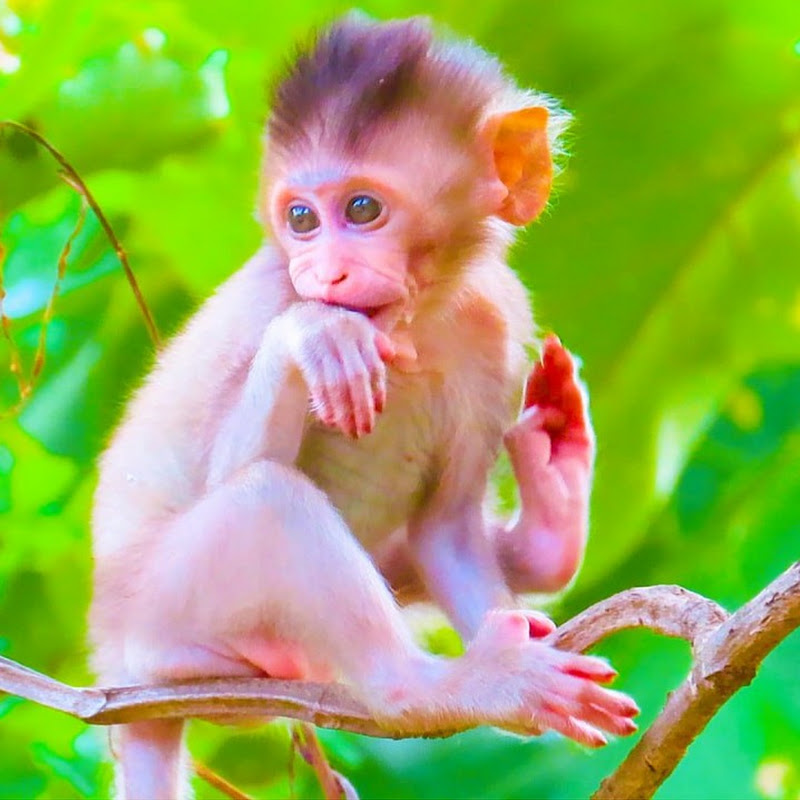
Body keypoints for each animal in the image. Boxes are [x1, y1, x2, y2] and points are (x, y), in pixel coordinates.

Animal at [89, 15, 639, 800]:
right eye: (300, 219)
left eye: (361, 209)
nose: (325, 273)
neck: (414, 320)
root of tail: (113, 670)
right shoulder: (273, 296)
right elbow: (231, 469)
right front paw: (318, 334)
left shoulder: (496, 324)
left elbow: (446, 527)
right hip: (159, 616)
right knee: (266, 501)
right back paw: (431, 688)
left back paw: (551, 518)